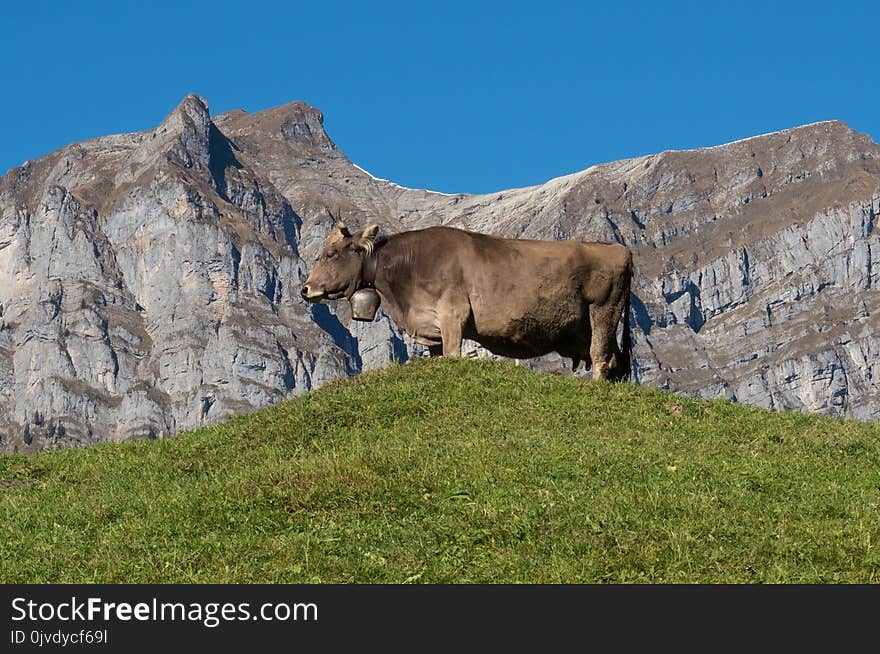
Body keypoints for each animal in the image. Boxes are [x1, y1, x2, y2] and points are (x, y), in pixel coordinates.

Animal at [302, 223, 632, 382]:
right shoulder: (431, 326)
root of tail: (619, 249)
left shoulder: (453, 314)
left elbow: (452, 354)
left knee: (601, 358)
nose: (305, 289)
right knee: (616, 361)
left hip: (603, 311)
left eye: (331, 254)